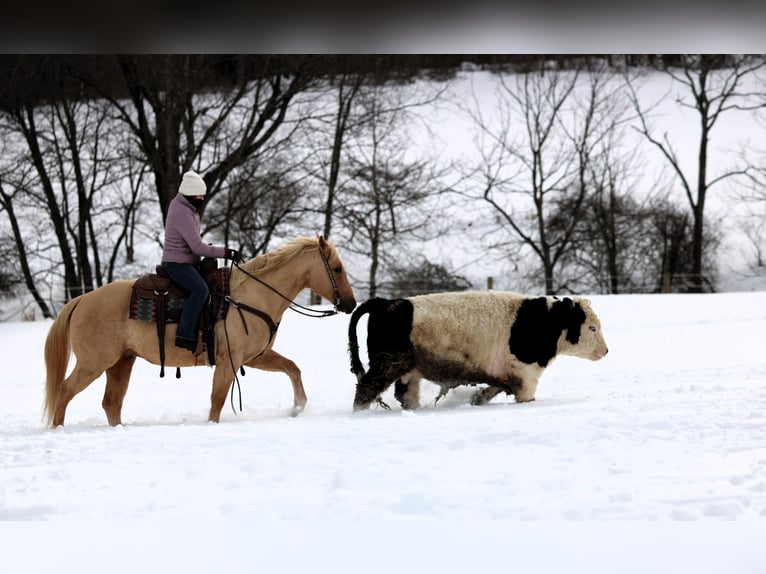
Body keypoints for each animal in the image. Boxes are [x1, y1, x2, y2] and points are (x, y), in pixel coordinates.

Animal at [43, 235, 357, 427]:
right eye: (337, 269)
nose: (351, 304)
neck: (252, 295)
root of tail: (82, 299)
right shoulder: (230, 360)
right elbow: (217, 399)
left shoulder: (256, 356)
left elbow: (293, 368)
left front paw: (298, 407)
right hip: (94, 363)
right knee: (65, 391)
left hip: (121, 363)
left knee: (111, 403)